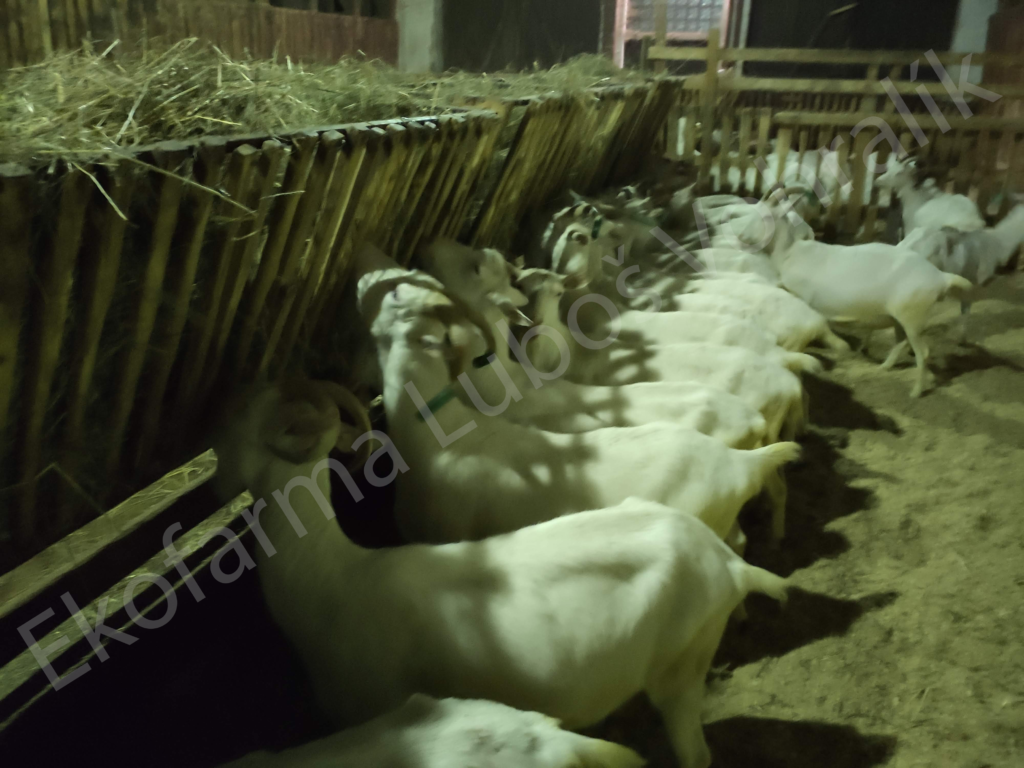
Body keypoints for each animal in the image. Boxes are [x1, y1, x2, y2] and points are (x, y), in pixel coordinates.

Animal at [211, 375, 791, 768]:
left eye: (237, 427)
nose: (214, 483)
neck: (332, 580)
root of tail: (727, 565)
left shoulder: (367, 702)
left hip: (680, 669)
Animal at [766, 194, 974, 397]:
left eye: (765, 215)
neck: (790, 252)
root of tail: (941, 277)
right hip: (899, 318)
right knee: (900, 342)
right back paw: (885, 366)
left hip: (913, 319)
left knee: (923, 353)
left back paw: (916, 391)